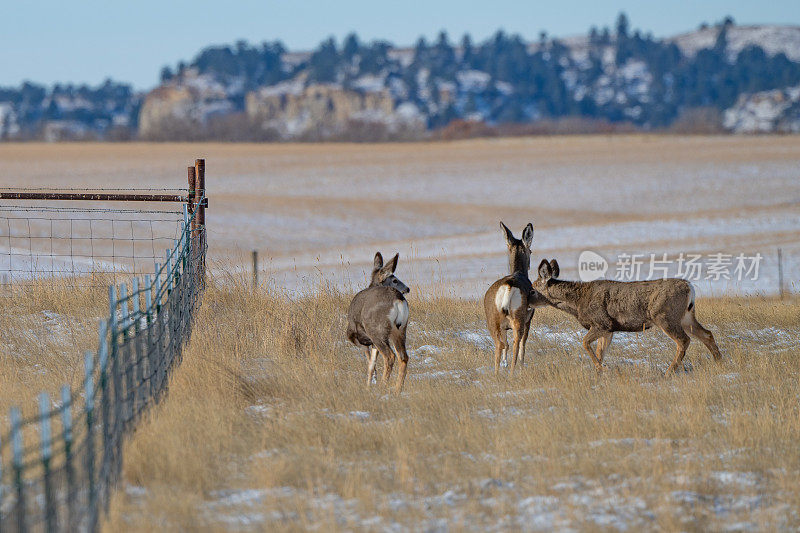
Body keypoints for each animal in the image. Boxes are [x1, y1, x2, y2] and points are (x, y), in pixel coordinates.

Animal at [346, 251, 412, 392]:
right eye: (395, 280)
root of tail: (397, 298)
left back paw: (383, 386)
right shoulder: (372, 344)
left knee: (390, 356)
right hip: (400, 330)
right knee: (403, 357)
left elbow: (370, 364)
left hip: (377, 330)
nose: (407, 289)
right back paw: (397, 390)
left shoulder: (358, 338)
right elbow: (372, 363)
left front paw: (369, 385)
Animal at [482, 222, 544, 376]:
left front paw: (504, 363)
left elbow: (506, 344)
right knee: (516, 343)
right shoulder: (529, 320)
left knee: (500, 344)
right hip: (519, 319)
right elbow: (523, 344)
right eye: (531, 251)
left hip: (492, 320)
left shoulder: (504, 327)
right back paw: (512, 373)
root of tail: (509, 284)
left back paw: (497, 373)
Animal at [532, 258, 724, 374]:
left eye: (533, 288)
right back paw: (719, 361)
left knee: (684, 340)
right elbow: (600, 351)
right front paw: (599, 371)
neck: (577, 302)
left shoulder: (602, 323)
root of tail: (689, 287)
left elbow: (585, 343)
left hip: (665, 316)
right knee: (706, 334)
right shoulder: (609, 330)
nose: (527, 299)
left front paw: (601, 369)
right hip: (686, 317)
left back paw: (669, 371)